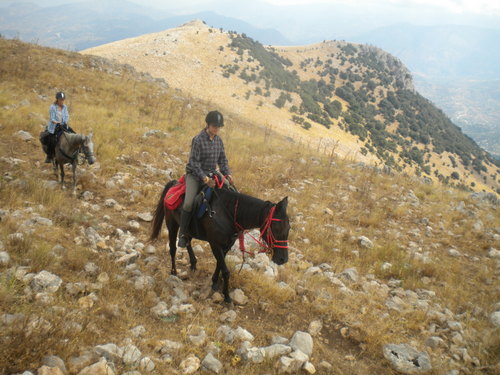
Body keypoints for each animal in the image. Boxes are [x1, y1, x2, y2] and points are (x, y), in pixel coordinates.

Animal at [149, 181, 290, 304]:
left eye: (289, 228)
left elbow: (219, 264)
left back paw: (193, 264)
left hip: (187, 229)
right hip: (171, 224)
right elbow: (226, 271)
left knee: (187, 241)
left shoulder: (227, 244)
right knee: (173, 248)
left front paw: (215, 283)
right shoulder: (215, 244)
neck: (228, 214)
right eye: (276, 228)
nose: (283, 259)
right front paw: (227, 296)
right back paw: (174, 272)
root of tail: (174, 183)